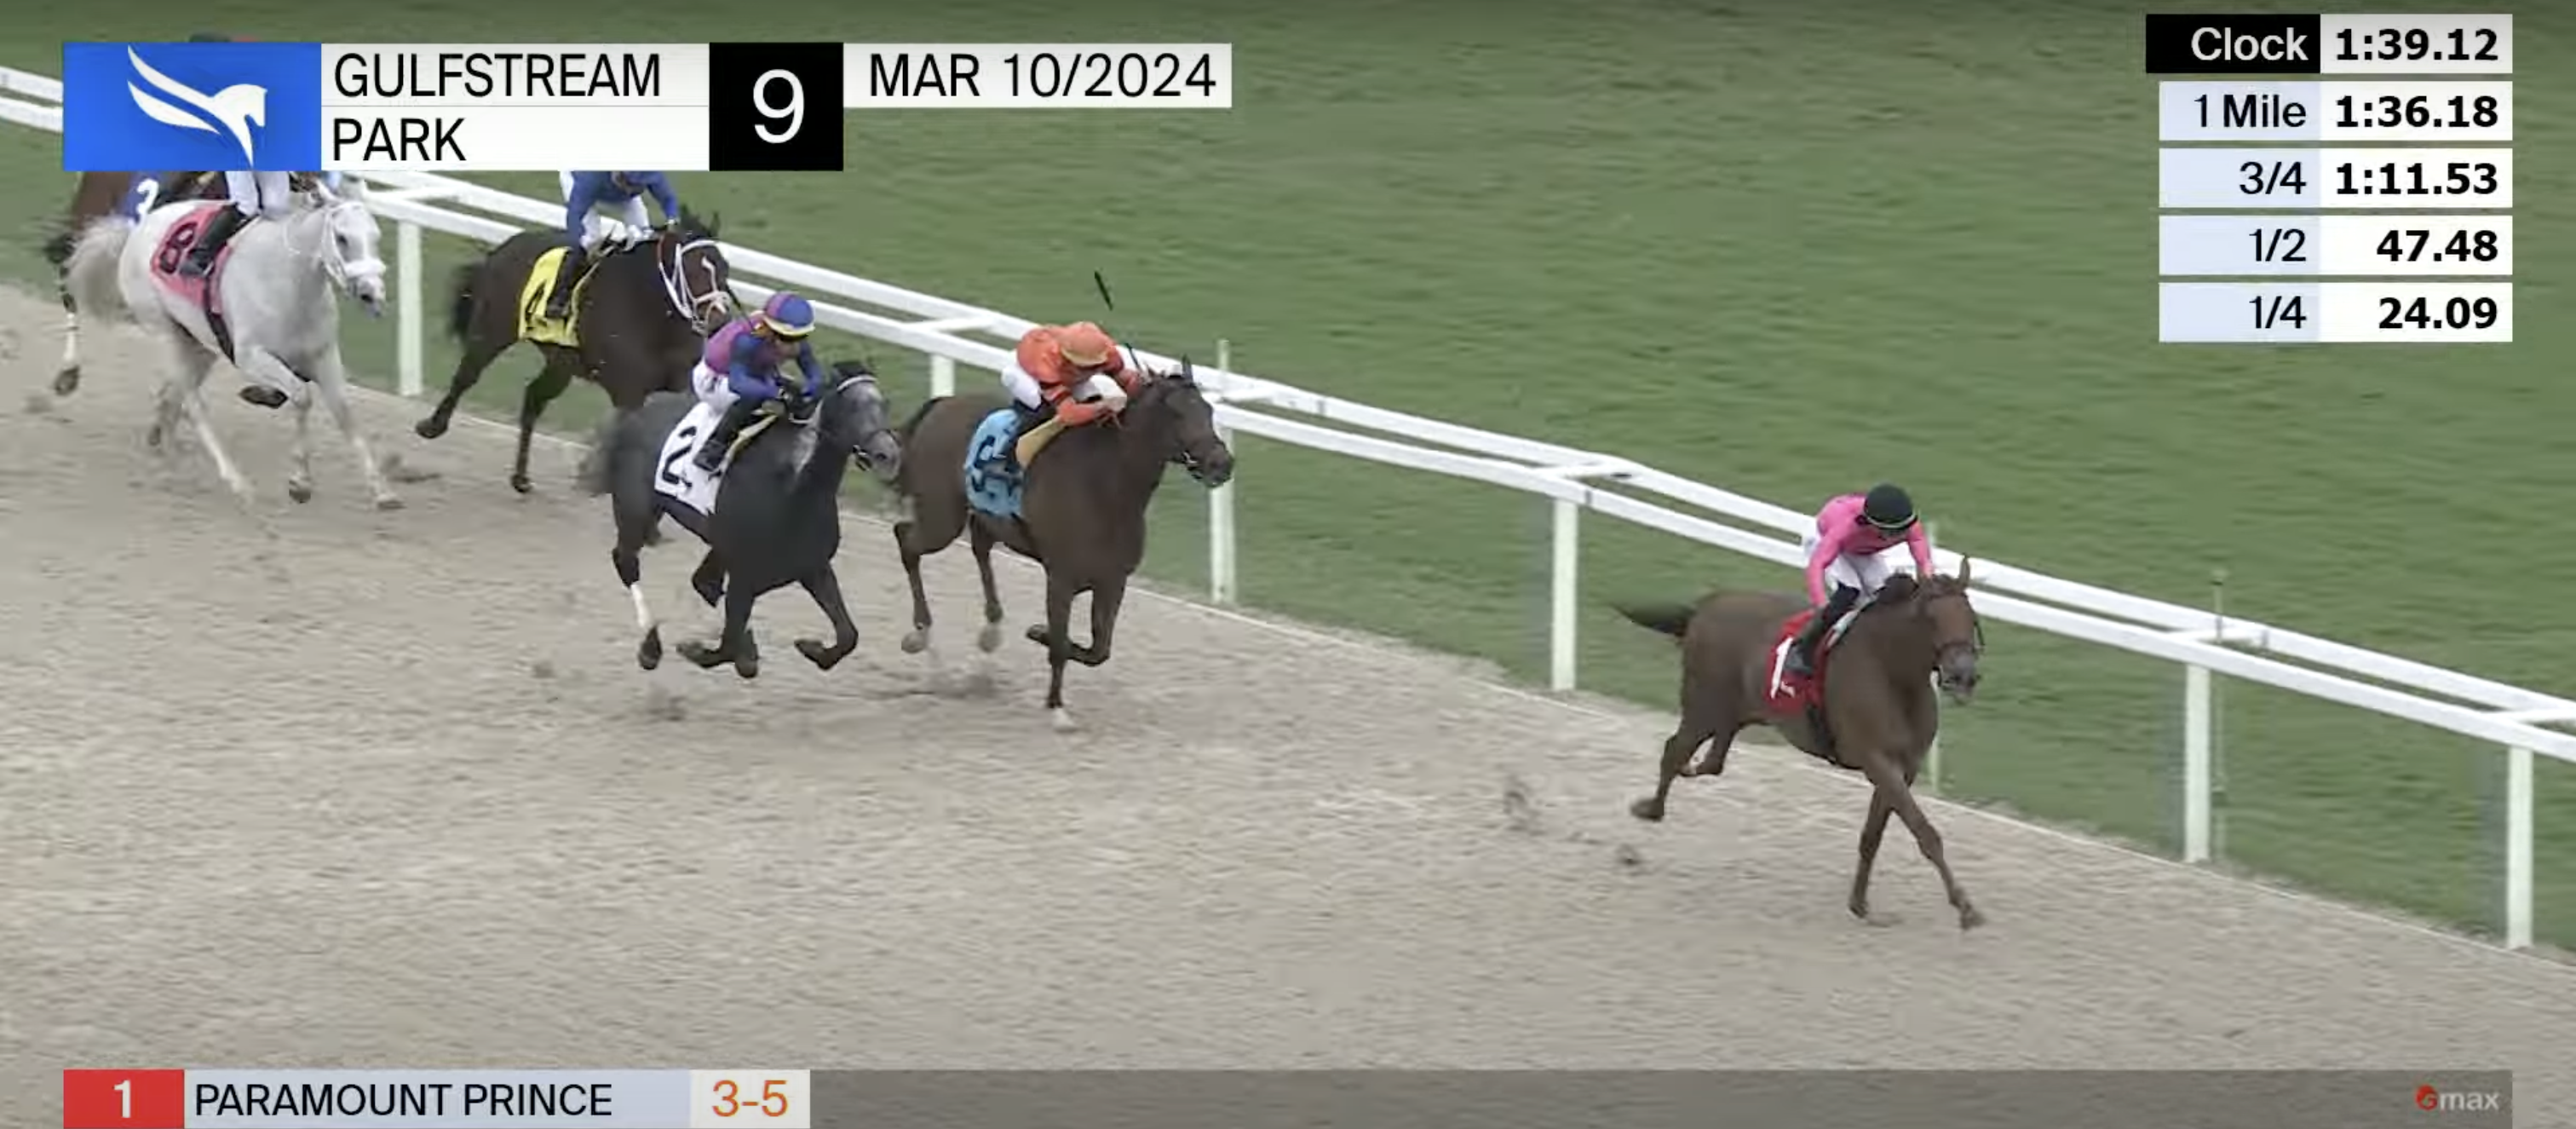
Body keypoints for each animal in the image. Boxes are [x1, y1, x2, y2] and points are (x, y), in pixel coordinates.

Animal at [64, 181, 399, 509]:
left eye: (376, 236)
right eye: (342, 238)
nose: (372, 293)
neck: (289, 284)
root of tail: (138, 228)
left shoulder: (323, 355)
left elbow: (345, 413)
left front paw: (382, 491)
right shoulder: (252, 357)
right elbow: (302, 397)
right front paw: (300, 483)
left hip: (198, 342)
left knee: (174, 398)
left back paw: (168, 454)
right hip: (165, 331)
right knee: (194, 406)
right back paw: (236, 481)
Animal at [417, 210, 736, 494]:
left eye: (724, 267)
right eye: (692, 269)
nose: (720, 319)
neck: (651, 314)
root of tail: (507, 246)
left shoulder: (680, 387)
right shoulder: (629, 392)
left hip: (561, 362)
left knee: (534, 398)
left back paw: (521, 478)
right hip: (493, 330)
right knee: (466, 376)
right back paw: (432, 426)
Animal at [577, 362, 904, 678]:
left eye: (885, 404)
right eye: (852, 406)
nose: (887, 456)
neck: (794, 489)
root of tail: (637, 411)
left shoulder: (813, 567)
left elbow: (849, 635)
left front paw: (812, 649)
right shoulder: (744, 576)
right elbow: (728, 646)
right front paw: (697, 650)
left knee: (701, 581)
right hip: (634, 508)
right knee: (626, 561)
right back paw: (650, 646)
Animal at [889, 368, 1235, 732]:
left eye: (1209, 411)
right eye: (1178, 413)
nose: (1222, 463)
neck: (1107, 486)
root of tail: (941, 404)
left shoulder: (1113, 581)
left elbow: (1098, 651)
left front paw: (1037, 632)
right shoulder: (1061, 578)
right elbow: (1060, 644)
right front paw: (1056, 707)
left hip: (984, 518)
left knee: (979, 548)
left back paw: (990, 632)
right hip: (942, 518)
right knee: (906, 540)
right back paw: (921, 637)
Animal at [1614, 566, 1988, 930]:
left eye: (1970, 617)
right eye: (1932, 618)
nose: (1963, 676)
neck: (1892, 672)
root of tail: (1707, 604)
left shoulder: (1904, 768)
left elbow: (1873, 836)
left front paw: (1860, 904)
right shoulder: (1877, 761)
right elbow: (1925, 832)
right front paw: (1966, 908)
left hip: (1738, 710)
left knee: (1711, 760)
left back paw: (1687, 773)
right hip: (1704, 704)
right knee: (1674, 750)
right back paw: (1650, 810)